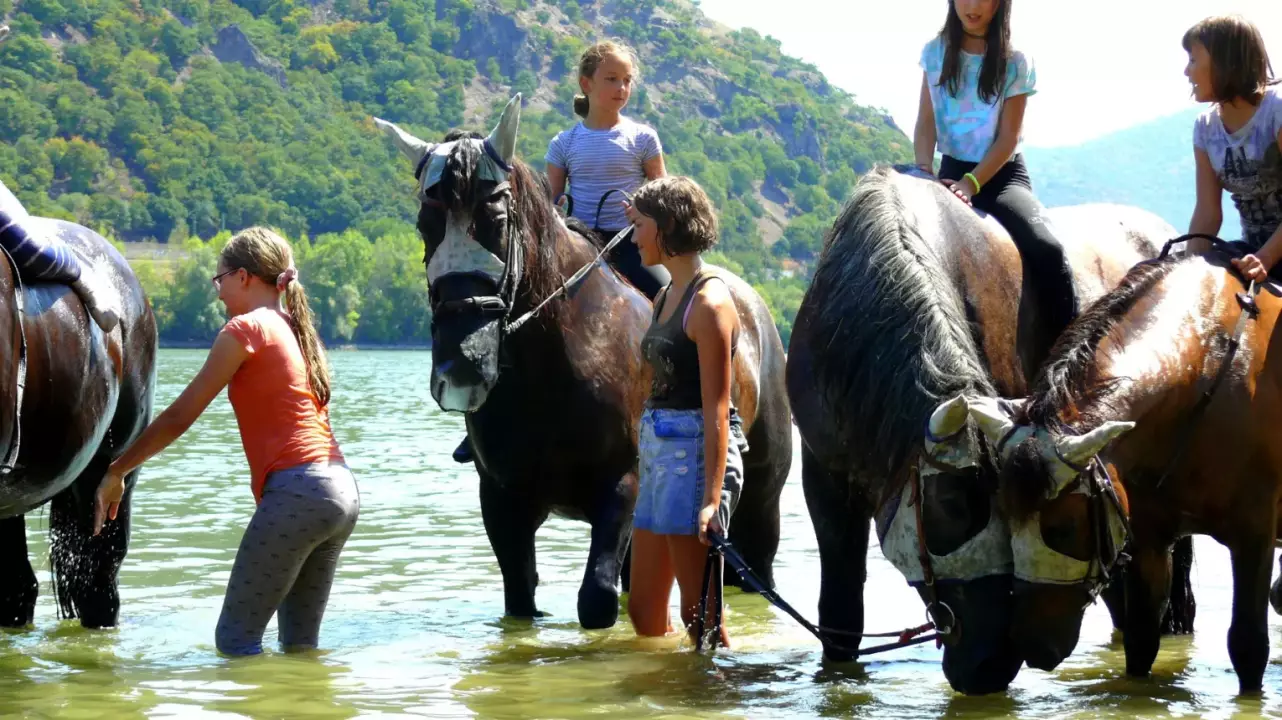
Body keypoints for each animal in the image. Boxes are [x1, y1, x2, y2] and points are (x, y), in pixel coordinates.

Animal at [371, 96, 789, 627]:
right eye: (426, 226)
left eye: (497, 222)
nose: (460, 367)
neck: (550, 367)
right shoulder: (503, 500)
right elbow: (521, 600)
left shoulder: (622, 486)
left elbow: (596, 602)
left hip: (762, 500)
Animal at [969, 251, 1282, 691]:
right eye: (1003, 523)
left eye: (1065, 528)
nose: (1031, 644)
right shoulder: (1150, 541)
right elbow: (1141, 638)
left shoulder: (1255, 536)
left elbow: (1249, 646)